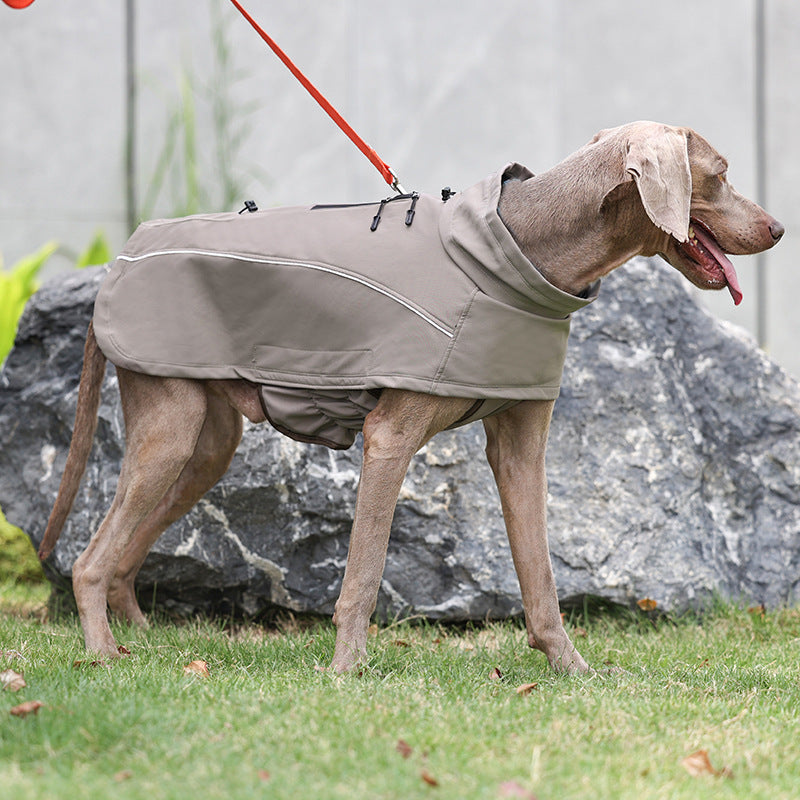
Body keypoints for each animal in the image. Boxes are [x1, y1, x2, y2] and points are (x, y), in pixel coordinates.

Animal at [37, 122, 780, 672]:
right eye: (720, 173)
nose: (777, 229)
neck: (523, 244)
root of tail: (120, 258)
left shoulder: (522, 446)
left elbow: (540, 577)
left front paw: (573, 670)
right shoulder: (389, 438)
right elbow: (363, 575)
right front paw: (346, 672)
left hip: (204, 443)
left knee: (122, 555)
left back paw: (149, 641)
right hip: (171, 427)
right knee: (89, 561)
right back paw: (104, 656)